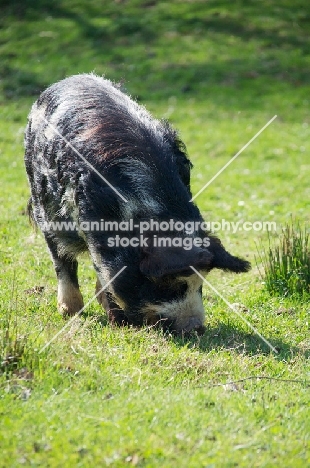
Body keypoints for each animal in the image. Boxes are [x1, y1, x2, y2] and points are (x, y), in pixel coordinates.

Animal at [24, 73, 252, 334]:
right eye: (170, 285)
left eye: (201, 284)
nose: (196, 328)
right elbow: (102, 272)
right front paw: (117, 323)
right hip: (42, 202)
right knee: (60, 258)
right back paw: (70, 311)